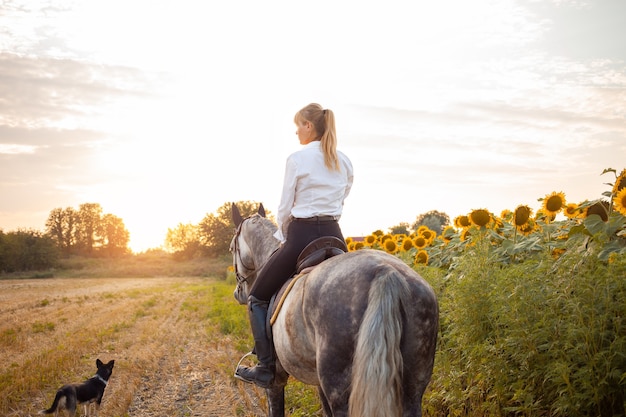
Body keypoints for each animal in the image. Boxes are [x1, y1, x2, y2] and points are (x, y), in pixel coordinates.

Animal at [229, 204, 438, 416]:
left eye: (231, 248)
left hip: (339, 388)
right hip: (413, 387)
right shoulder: (318, 382)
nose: (238, 293)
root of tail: (386, 272)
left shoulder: (276, 382)